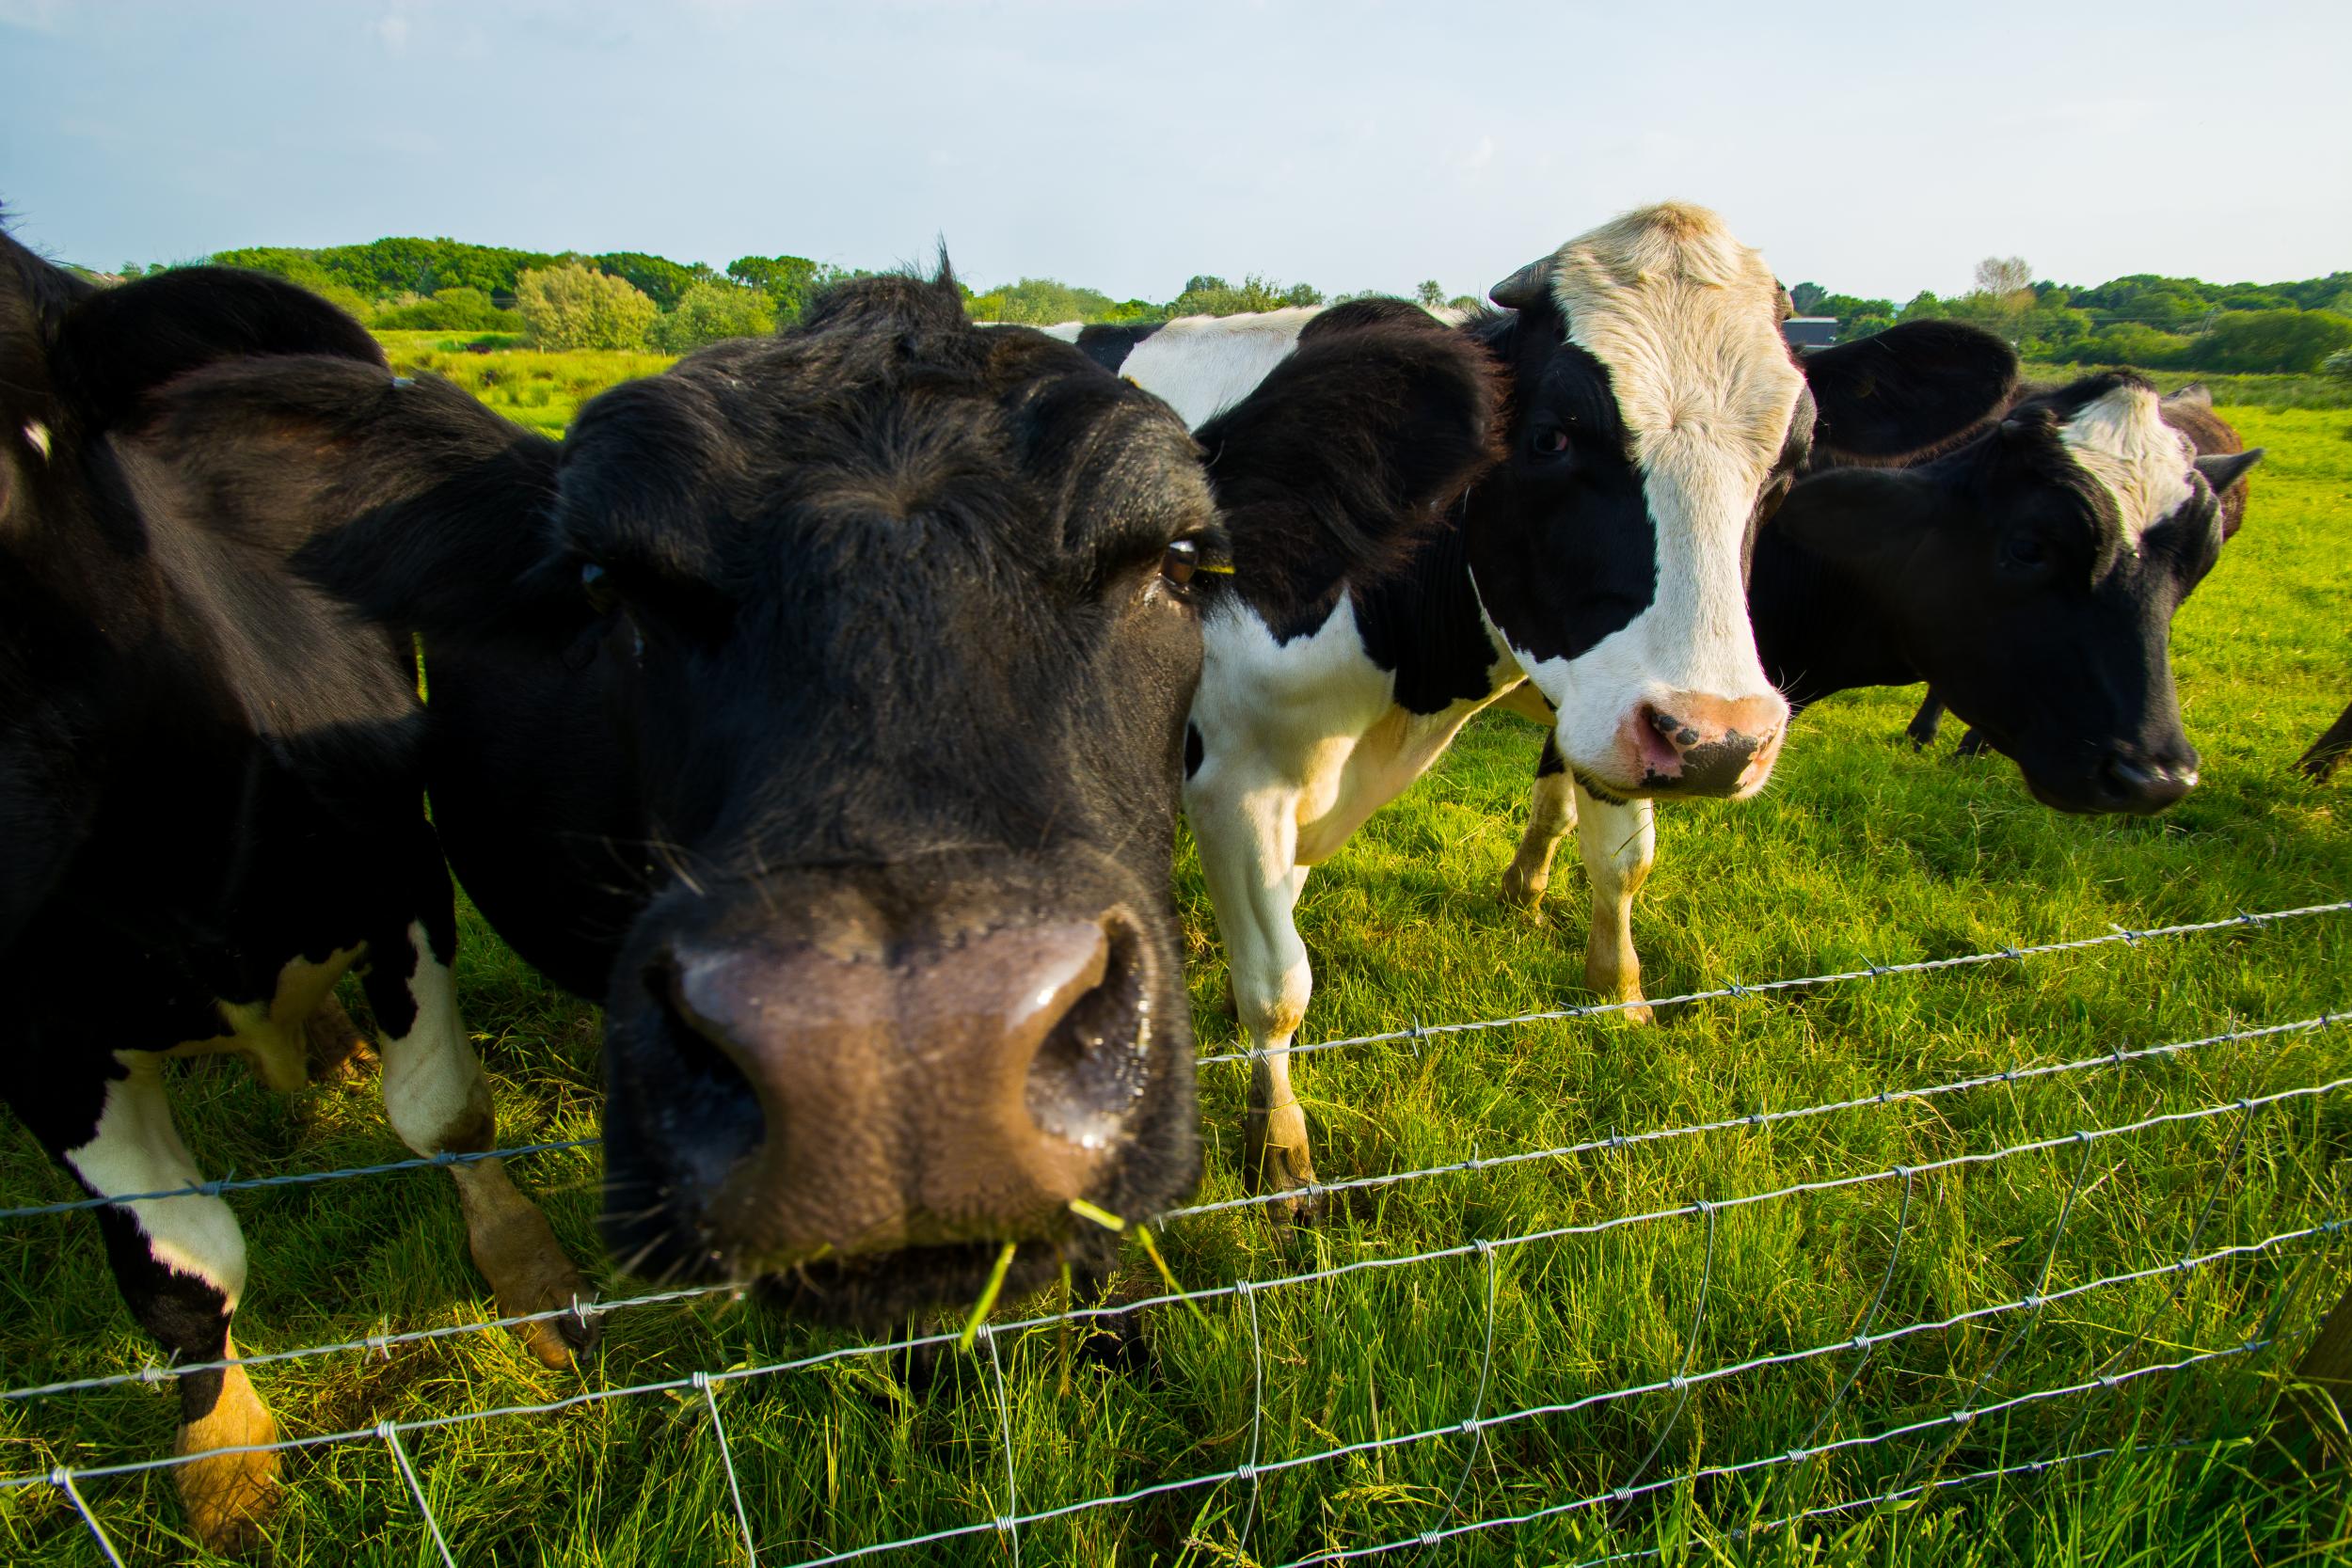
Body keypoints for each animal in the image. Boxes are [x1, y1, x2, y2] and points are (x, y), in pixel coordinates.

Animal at [2, 230, 588, 1542]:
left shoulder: (400, 880)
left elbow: (444, 1113)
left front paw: (530, 1276)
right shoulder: (38, 1040)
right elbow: (180, 1264)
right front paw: (223, 1455)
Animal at [1068, 205, 2023, 1203]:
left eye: (1793, 461)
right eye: (1551, 437)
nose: (1721, 740)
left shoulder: (1594, 709)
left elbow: (1622, 861)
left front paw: (1623, 995)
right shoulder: (1235, 776)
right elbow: (1279, 983)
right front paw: (1281, 1150)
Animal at [1505, 369, 2258, 1020]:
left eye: (2200, 563)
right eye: (2030, 546)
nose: (2155, 775)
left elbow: (1560, 815)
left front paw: (1525, 896)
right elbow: (1619, 857)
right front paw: (1616, 993)